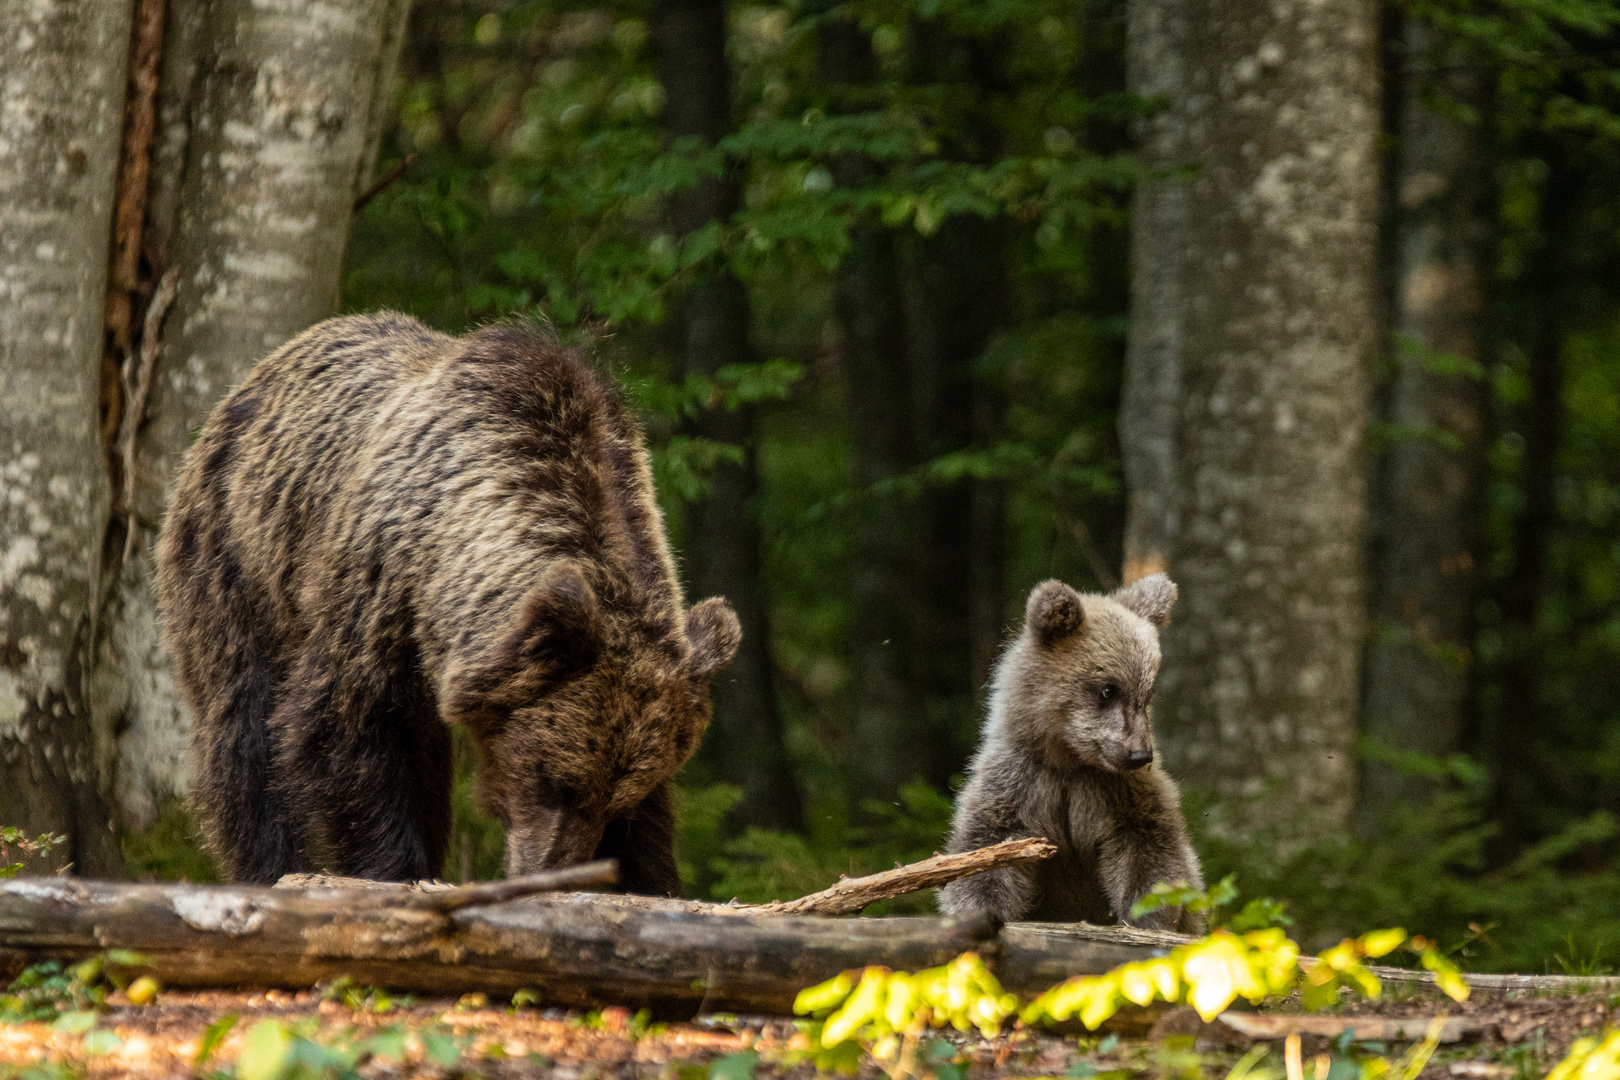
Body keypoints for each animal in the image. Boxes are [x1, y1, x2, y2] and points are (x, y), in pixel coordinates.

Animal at [154, 307, 738, 893]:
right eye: (553, 780)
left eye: (614, 797)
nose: (551, 871)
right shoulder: (376, 587)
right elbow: (343, 727)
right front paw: (392, 870)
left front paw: (649, 876)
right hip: (237, 561)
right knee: (243, 727)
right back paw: (265, 865)